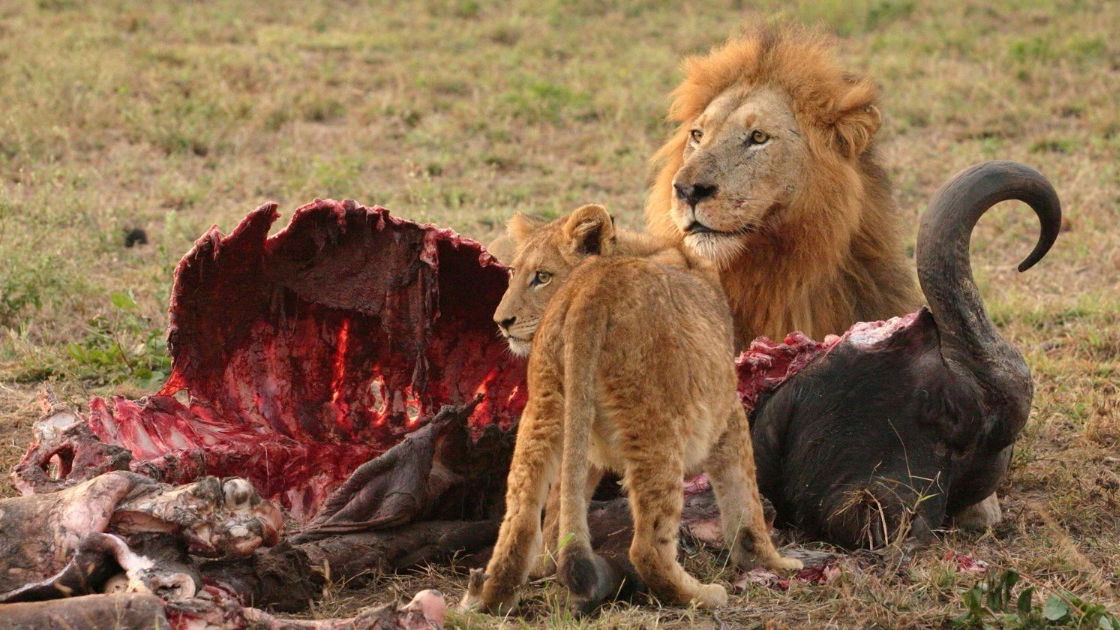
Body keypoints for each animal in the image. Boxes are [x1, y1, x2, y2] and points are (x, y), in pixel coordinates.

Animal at [459, 204, 801, 609]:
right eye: (514, 273)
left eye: (540, 276)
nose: (501, 322)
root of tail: (592, 289)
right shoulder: (726, 410)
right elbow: (744, 498)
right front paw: (771, 562)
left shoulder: (585, 440)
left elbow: (563, 504)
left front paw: (547, 564)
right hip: (656, 423)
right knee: (648, 547)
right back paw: (700, 595)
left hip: (544, 408)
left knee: (521, 518)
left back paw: (493, 597)